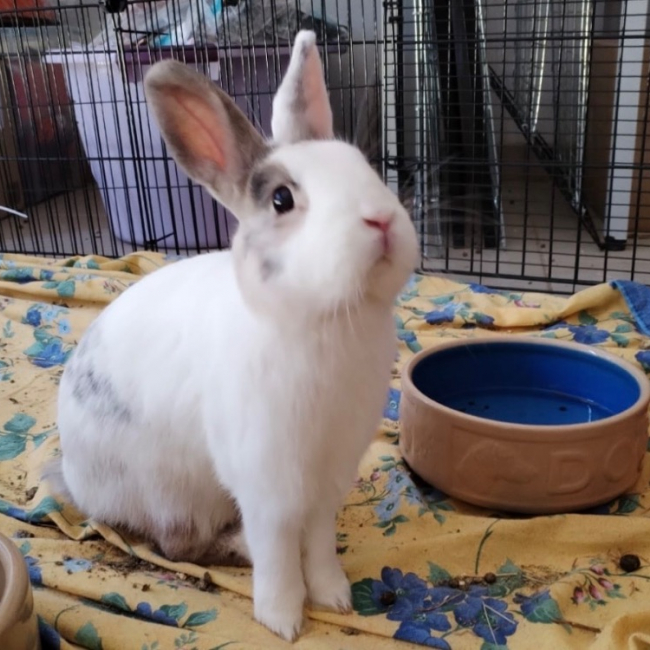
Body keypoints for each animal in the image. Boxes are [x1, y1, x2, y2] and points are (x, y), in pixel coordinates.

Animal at [51, 30, 419, 641]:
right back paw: (235, 547)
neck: (326, 322)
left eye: (363, 166)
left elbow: (319, 540)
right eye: (281, 200)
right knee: (180, 545)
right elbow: (277, 547)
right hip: (173, 492)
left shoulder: (331, 475)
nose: (381, 220)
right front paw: (283, 619)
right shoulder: (268, 479)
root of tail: (75, 484)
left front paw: (336, 597)